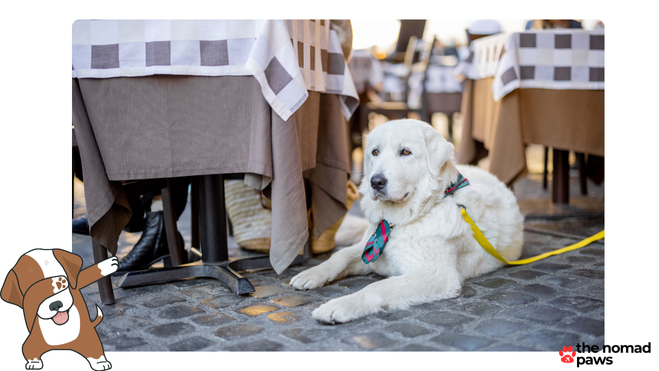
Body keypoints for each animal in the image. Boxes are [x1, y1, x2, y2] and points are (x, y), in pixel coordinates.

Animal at [292, 117, 524, 324]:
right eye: (374, 152)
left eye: (405, 152)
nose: (376, 182)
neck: (397, 222)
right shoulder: (370, 248)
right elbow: (340, 256)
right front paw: (312, 273)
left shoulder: (437, 275)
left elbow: (377, 287)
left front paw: (338, 306)